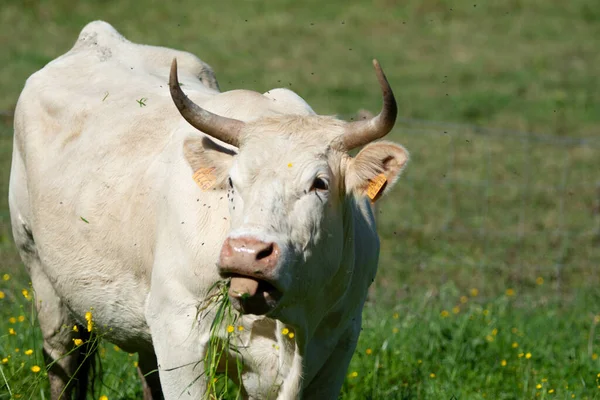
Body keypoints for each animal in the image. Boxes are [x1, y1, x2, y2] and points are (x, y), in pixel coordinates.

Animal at [9, 21, 410, 400]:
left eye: (320, 183)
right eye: (232, 182)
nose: (246, 252)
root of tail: (98, 36)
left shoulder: (338, 345)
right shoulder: (178, 332)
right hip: (41, 272)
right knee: (63, 363)